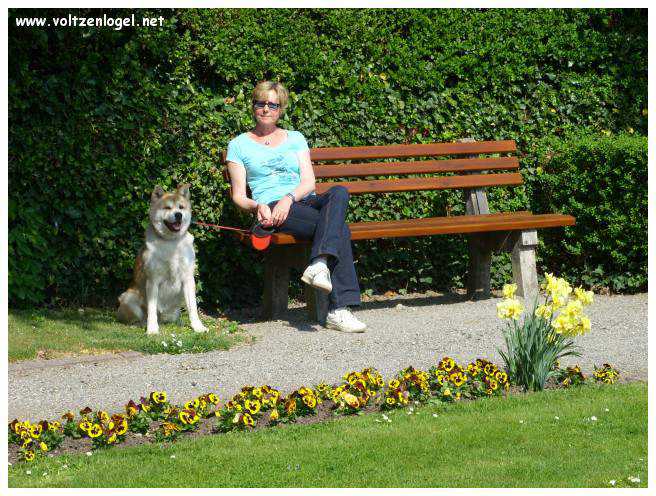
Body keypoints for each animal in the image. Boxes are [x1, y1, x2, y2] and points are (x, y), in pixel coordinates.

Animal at [116, 184, 206, 336]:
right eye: (167, 208)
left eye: (181, 207)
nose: (178, 215)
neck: (171, 242)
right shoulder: (153, 280)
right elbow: (152, 309)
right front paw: (152, 329)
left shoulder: (188, 279)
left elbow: (193, 308)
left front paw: (198, 327)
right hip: (128, 297)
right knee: (139, 317)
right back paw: (141, 324)